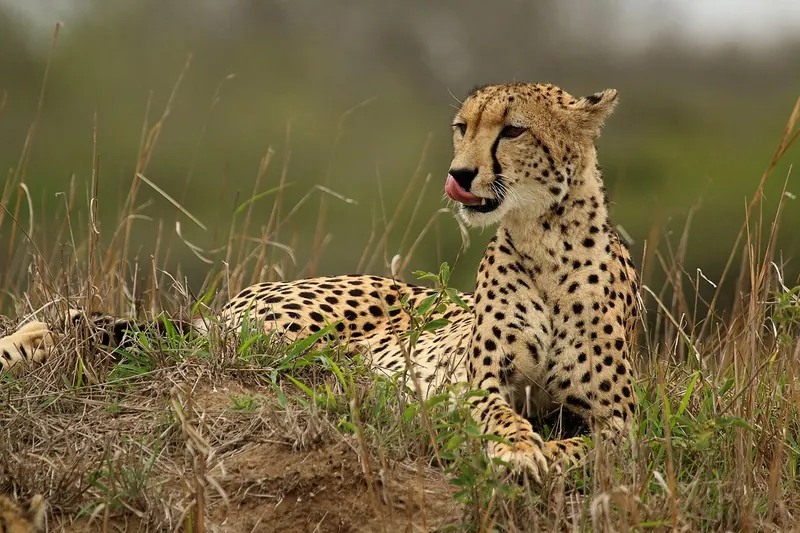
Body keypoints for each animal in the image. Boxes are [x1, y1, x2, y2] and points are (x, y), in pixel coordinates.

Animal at [0, 82, 639, 483]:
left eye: (513, 131)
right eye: (462, 128)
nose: (459, 174)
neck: (545, 241)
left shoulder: (621, 422)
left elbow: (592, 451)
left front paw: (543, 453)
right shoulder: (479, 384)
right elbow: (504, 416)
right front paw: (518, 449)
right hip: (278, 338)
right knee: (151, 335)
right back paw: (28, 342)